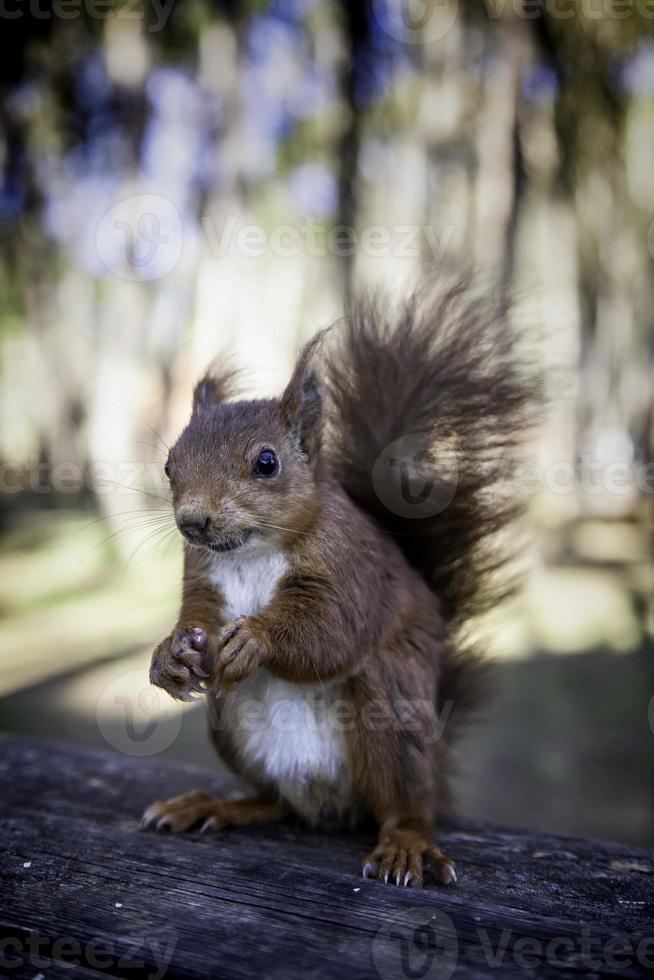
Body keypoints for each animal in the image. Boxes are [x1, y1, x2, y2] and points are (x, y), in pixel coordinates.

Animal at [142, 280, 540, 884]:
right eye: (169, 466)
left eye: (266, 462)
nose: (193, 522)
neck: (253, 552)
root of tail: (327, 804)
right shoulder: (204, 576)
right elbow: (198, 619)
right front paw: (169, 656)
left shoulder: (351, 567)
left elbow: (332, 630)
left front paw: (256, 638)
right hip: (229, 722)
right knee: (274, 801)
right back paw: (214, 805)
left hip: (390, 714)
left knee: (405, 803)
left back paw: (406, 844)